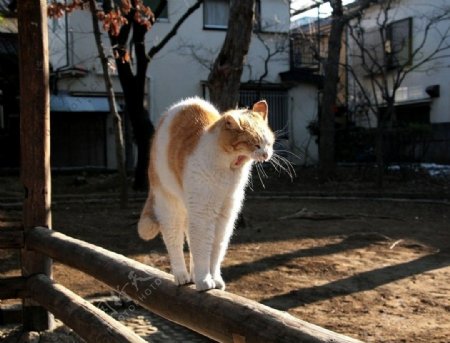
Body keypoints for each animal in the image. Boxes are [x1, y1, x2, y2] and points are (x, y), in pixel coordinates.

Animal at [137, 98, 274, 292]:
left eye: (269, 142)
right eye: (256, 144)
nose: (267, 154)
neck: (229, 169)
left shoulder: (225, 217)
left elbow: (216, 251)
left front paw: (213, 278)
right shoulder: (204, 214)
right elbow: (202, 249)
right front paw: (203, 280)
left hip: (190, 210)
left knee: (191, 238)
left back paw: (194, 275)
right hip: (171, 207)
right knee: (175, 241)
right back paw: (182, 276)